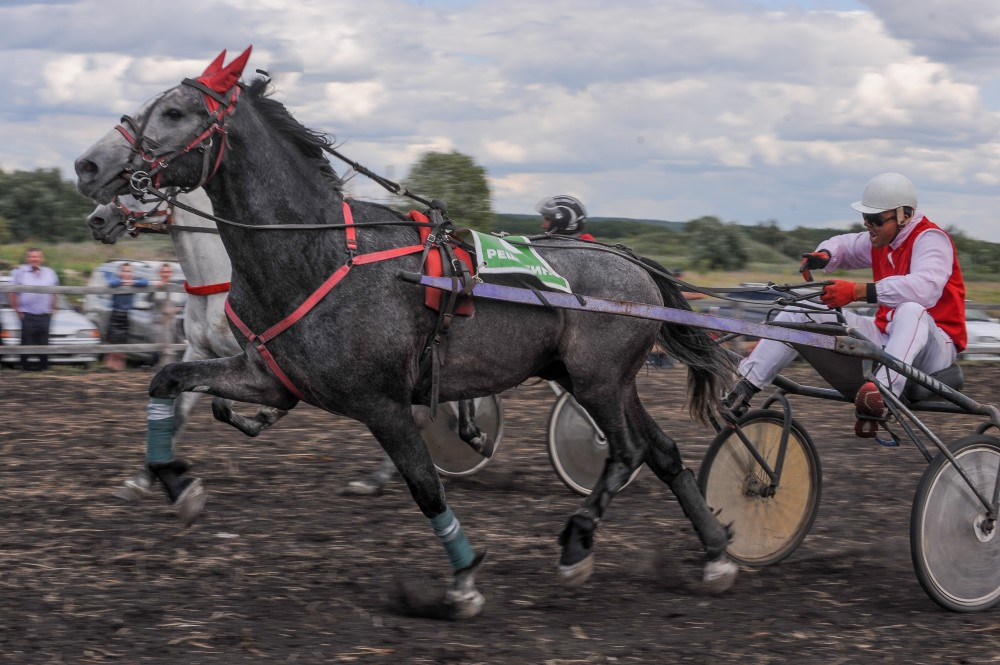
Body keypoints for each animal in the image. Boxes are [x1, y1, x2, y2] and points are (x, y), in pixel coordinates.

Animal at [74, 47, 738, 619]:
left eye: (175, 111)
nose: (88, 167)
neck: (315, 252)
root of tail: (633, 262)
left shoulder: (382, 403)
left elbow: (425, 487)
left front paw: (464, 578)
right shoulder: (267, 376)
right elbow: (169, 381)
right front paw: (175, 483)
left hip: (597, 381)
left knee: (626, 451)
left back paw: (578, 543)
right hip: (598, 380)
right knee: (663, 452)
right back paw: (716, 556)